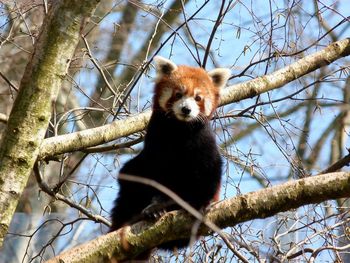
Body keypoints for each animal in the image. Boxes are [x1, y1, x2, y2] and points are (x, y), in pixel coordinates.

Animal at [110, 56, 231, 260]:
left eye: (198, 98)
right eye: (178, 94)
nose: (186, 109)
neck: (179, 129)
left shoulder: (203, 140)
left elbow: (210, 169)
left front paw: (201, 204)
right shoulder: (156, 139)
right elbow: (152, 173)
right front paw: (157, 203)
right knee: (129, 178)